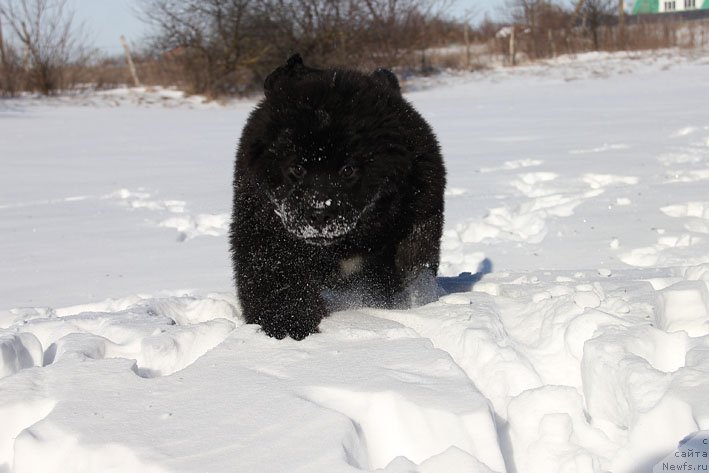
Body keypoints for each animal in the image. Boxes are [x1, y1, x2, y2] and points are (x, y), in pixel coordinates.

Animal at [230, 53, 446, 338]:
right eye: (297, 168)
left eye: (348, 169)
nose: (319, 213)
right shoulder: (264, 229)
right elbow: (279, 283)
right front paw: (288, 328)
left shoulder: (417, 220)